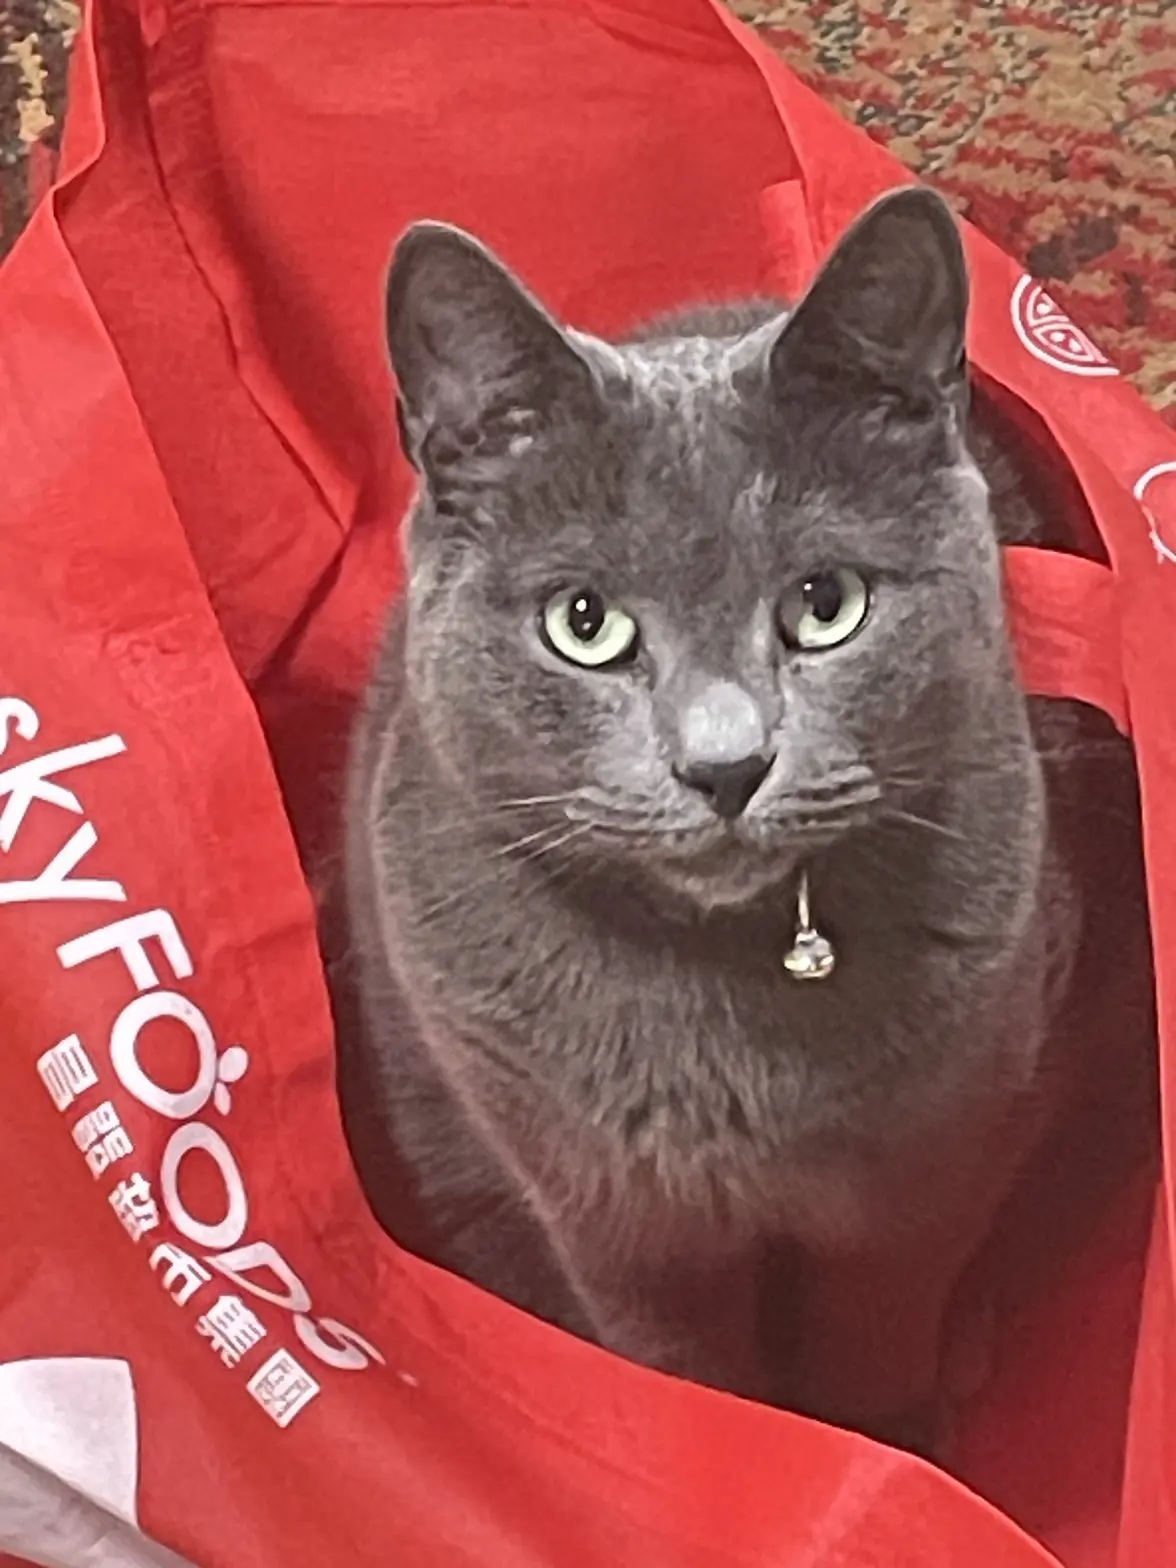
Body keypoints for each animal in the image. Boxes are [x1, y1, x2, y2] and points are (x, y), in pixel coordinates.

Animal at [328, 187, 1155, 1453]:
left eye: (826, 605)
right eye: (583, 622)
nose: (727, 765)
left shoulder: (921, 1183)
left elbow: (876, 1333)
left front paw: (890, 1443)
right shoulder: (609, 1215)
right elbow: (685, 1364)